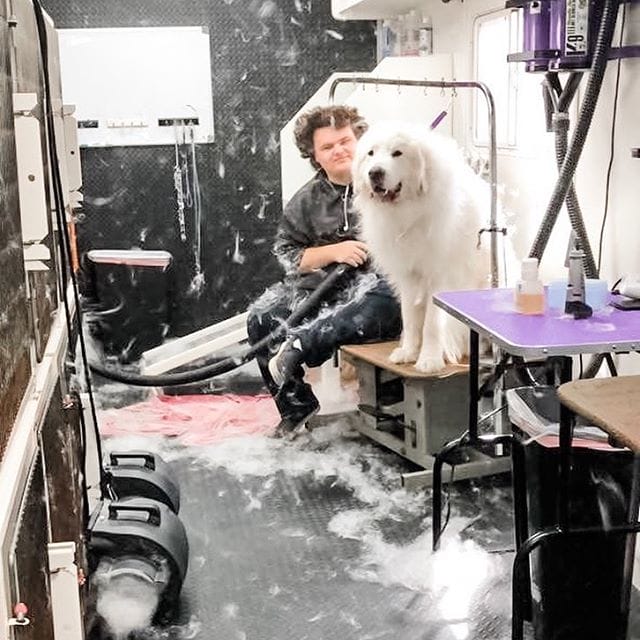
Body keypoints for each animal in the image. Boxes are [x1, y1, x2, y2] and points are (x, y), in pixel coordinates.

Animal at [353, 122, 491, 373]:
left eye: (397, 153)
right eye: (371, 153)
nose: (375, 173)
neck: (409, 212)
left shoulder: (438, 277)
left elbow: (431, 324)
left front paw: (429, 359)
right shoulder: (408, 275)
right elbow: (409, 317)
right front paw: (409, 352)